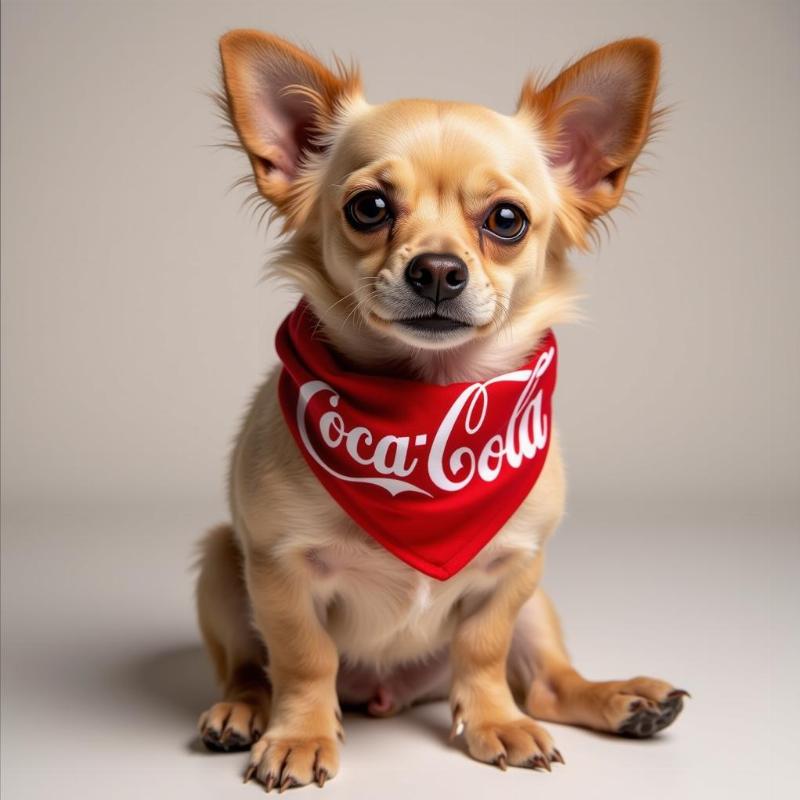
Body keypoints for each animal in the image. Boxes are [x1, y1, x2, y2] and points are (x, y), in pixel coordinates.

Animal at [195, 28, 688, 792]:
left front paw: (493, 724)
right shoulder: (278, 569)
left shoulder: (515, 571)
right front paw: (300, 734)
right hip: (222, 560)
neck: (426, 400)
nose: (436, 269)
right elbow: (304, 658)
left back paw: (625, 700)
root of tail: (386, 692)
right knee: (252, 668)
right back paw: (241, 711)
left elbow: (483, 651)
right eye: (369, 208)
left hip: (539, 608)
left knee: (546, 683)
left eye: (506, 221)